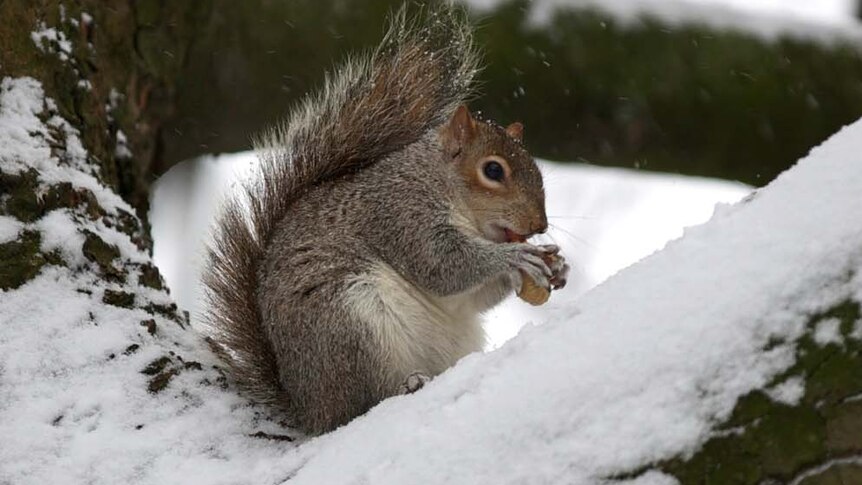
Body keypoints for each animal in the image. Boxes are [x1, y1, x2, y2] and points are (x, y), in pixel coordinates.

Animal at [201, 3, 568, 434]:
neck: (437, 181)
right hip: (350, 324)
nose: (539, 226)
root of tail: (309, 409)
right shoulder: (398, 212)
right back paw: (405, 386)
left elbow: (472, 296)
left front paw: (556, 266)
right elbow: (441, 265)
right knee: (361, 404)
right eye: (493, 170)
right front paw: (514, 259)